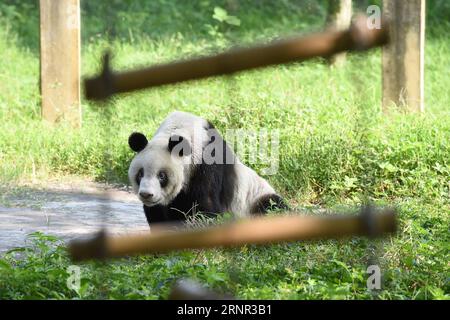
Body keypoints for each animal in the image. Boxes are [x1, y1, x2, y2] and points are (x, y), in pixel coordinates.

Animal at [128, 111, 286, 226]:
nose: (146, 194)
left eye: (162, 176)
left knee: (272, 205)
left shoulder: (206, 162)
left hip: (253, 199)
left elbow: (206, 205)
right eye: (140, 174)